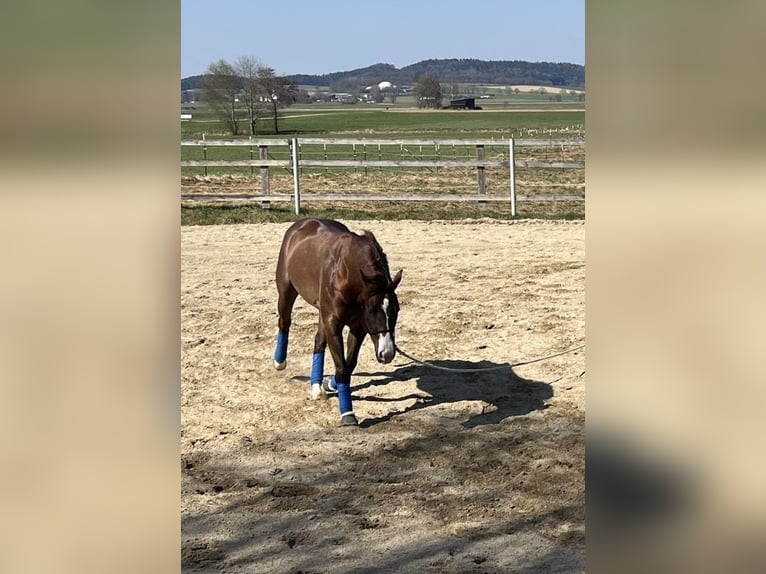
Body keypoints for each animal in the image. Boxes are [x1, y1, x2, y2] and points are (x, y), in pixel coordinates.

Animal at [273, 218, 403, 426]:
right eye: (372, 310)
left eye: (396, 310)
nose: (387, 353)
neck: (346, 272)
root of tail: (302, 224)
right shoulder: (334, 323)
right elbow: (341, 367)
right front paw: (347, 414)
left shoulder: (357, 327)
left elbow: (349, 365)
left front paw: (329, 382)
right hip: (286, 291)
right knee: (284, 322)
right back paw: (279, 362)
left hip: (322, 313)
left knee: (318, 342)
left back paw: (316, 386)